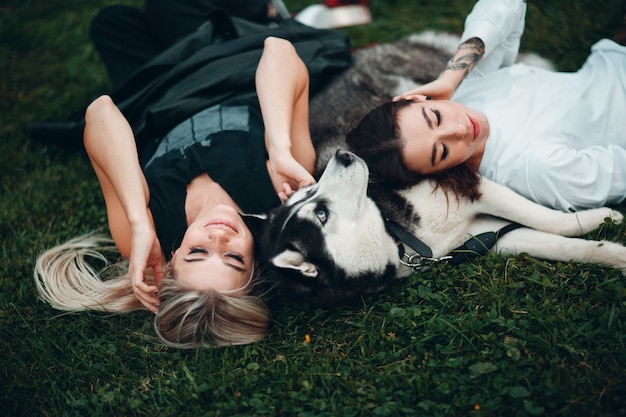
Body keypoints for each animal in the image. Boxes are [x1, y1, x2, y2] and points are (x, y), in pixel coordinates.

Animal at [245, 30, 624, 300]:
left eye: (310, 192)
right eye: (321, 212)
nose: (344, 156)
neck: (402, 238)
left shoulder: (479, 190)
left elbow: (550, 220)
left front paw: (601, 218)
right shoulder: (484, 239)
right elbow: (560, 244)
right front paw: (615, 254)